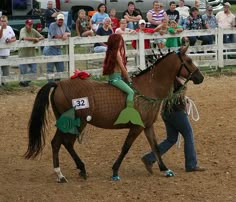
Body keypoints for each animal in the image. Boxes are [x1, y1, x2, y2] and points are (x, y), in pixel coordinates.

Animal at [24, 46, 204, 183]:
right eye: (189, 61)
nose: (200, 77)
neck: (148, 88)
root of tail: (59, 84)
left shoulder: (147, 126)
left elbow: (155, 146)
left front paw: (164, 169)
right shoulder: (136, 127)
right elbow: (125, 148)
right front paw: (115, 171)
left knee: (61, 143)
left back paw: (71, 171)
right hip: (75, 123)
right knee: (62, 143)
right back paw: (66, 173)